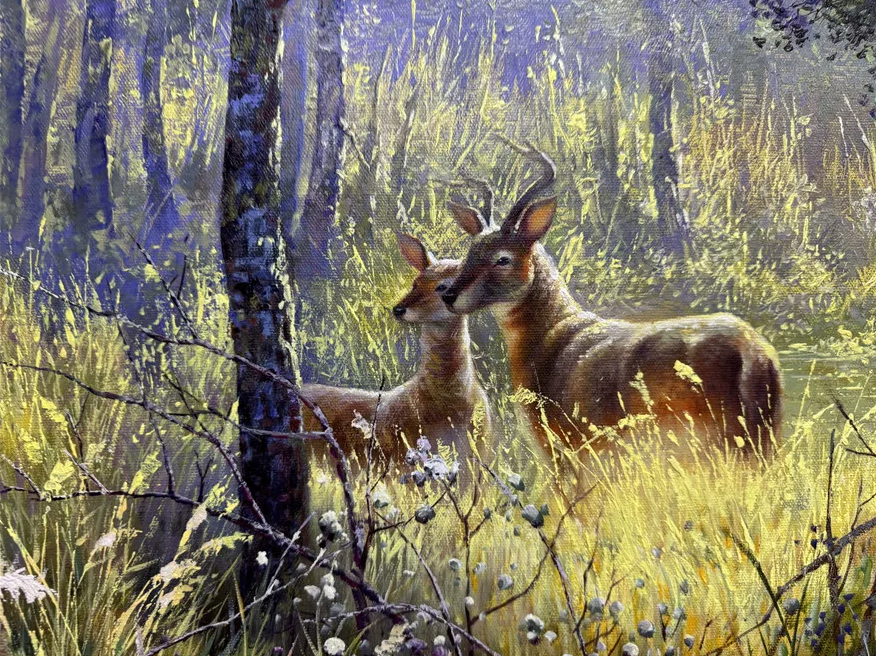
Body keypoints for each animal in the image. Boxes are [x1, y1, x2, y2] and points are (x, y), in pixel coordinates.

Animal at [441, 148, 782, 460]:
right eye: (470, 251)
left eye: (502, 258)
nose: (448, 294)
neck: (550, 335)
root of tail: (757, 353)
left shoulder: (564, 444)